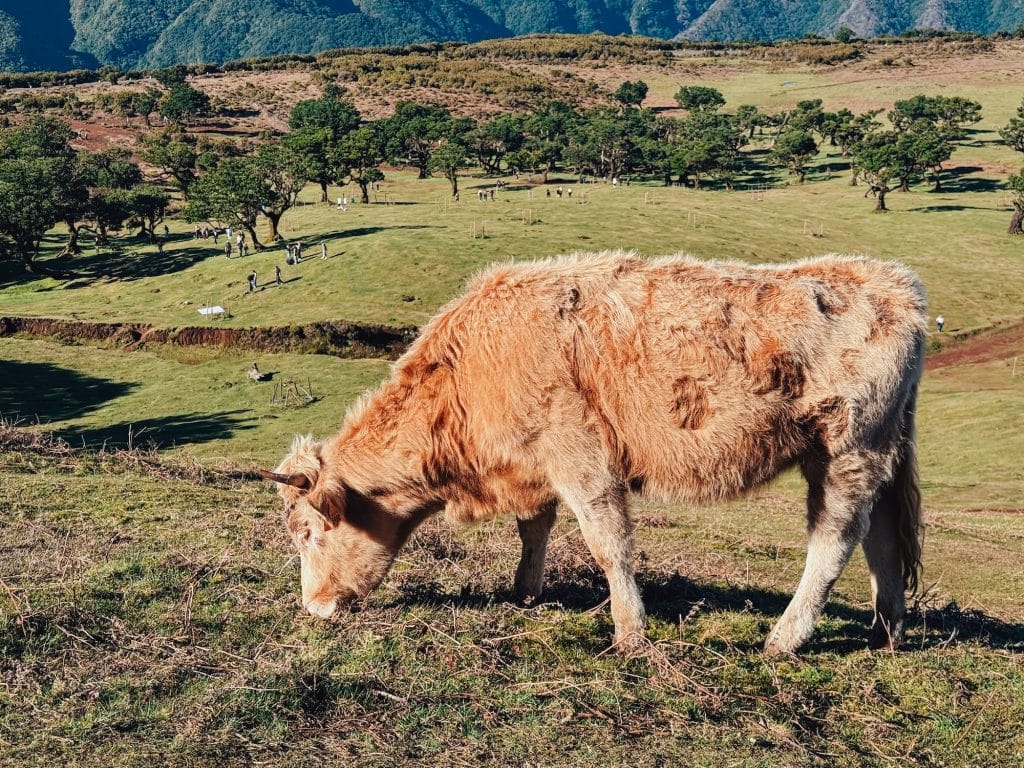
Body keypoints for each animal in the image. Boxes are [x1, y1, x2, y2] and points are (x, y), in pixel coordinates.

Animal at [261, 251, 926, 655]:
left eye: (307, 533)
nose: (313, 607)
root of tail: (890, 281)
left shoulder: (582, 458)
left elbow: (609, 545)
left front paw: (630, 633)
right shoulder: (534, 465)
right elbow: (535, 527)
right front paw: (524, 592)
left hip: (845, 450)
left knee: (835, 541)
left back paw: (784, 638)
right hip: (876, 455)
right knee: (883, 540)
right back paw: (889, 630)